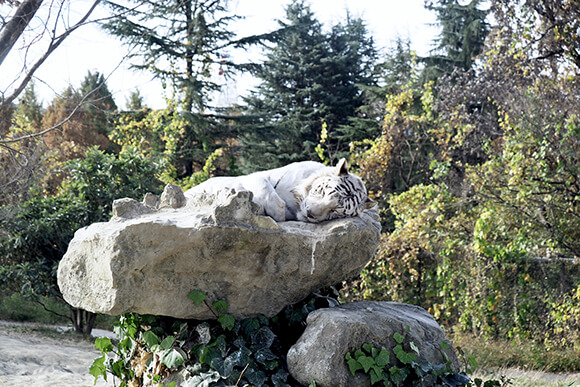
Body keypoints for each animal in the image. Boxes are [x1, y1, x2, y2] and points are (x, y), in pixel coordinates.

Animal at [185, 158, 376, 224]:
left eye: (335, 211)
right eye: (322, 192)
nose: (310, 213)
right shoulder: (259, 176)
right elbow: (265, 188)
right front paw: (276, 212)